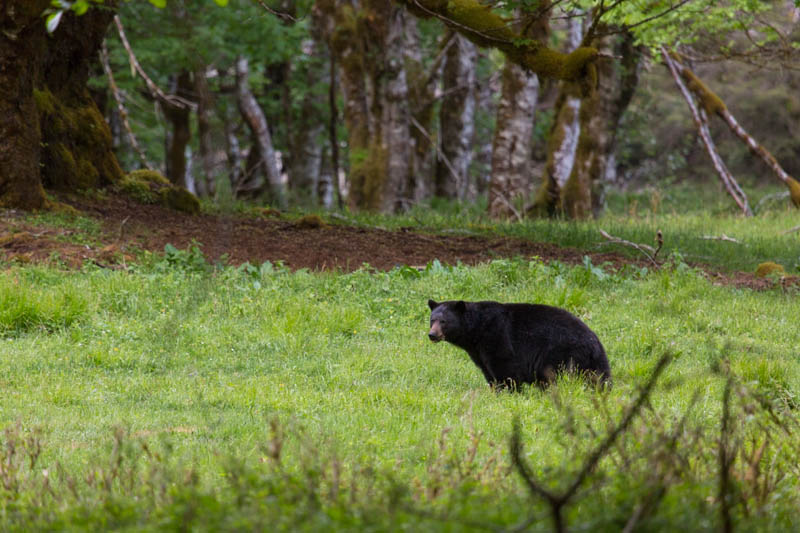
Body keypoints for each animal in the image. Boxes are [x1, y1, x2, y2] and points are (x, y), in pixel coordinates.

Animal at [428, 300, 608, 386]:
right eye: (432, 320)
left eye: (443, 321)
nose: (432, 335)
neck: (477, 329)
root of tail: (594, 342)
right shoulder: (477, 352)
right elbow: (488, 371)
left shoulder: (496, 335)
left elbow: (505, 367)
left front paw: (508, 390)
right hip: (592, 362)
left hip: (560, 353)